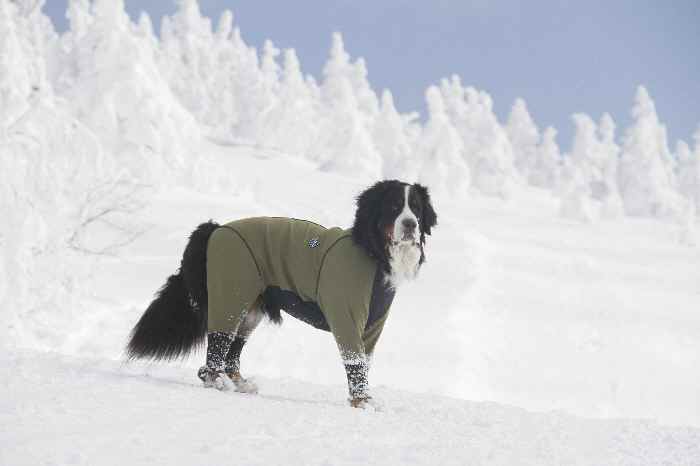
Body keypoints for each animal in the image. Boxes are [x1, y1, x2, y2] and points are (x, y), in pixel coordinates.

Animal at [123, 180, 434, 406]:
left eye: (416, 209)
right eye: (394, 207)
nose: (410, 224)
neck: (372, 252)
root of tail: (216, 229)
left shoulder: (372, 326)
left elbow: (363, 364)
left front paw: (363, 399)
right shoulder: (347, 318)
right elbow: (355, 364)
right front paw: (363, 402)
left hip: (249, 309)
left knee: (232, 352)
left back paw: (240, 383)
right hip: (231, 296)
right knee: (215, 351)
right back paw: (218, 382)